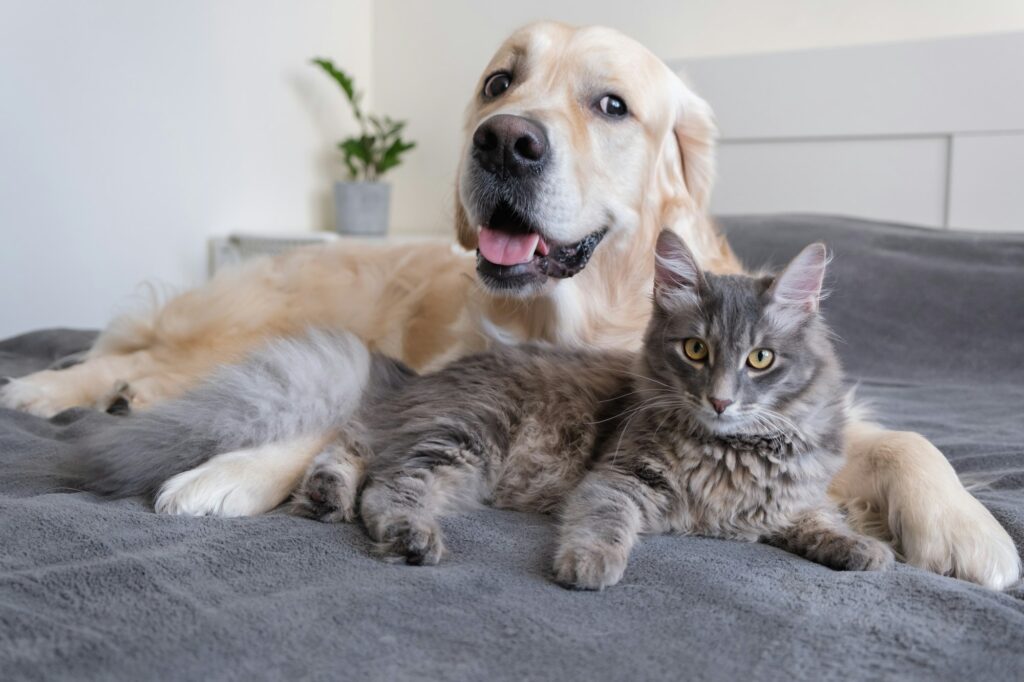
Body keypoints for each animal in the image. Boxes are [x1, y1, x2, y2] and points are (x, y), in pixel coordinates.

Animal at [68, 231, 892, 585]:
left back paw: (326, 497)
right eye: (695, 350)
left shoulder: (781, 502)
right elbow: (604, 524)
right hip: (469, 437)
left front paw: (866, 551)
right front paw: (589, 566)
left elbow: (816, 519)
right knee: (385, 487)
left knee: (352, 449)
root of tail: (427, 376)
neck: (729, 455)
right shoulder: (621, 479)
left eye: (760, 360)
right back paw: (408, 537)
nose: (720, 400)